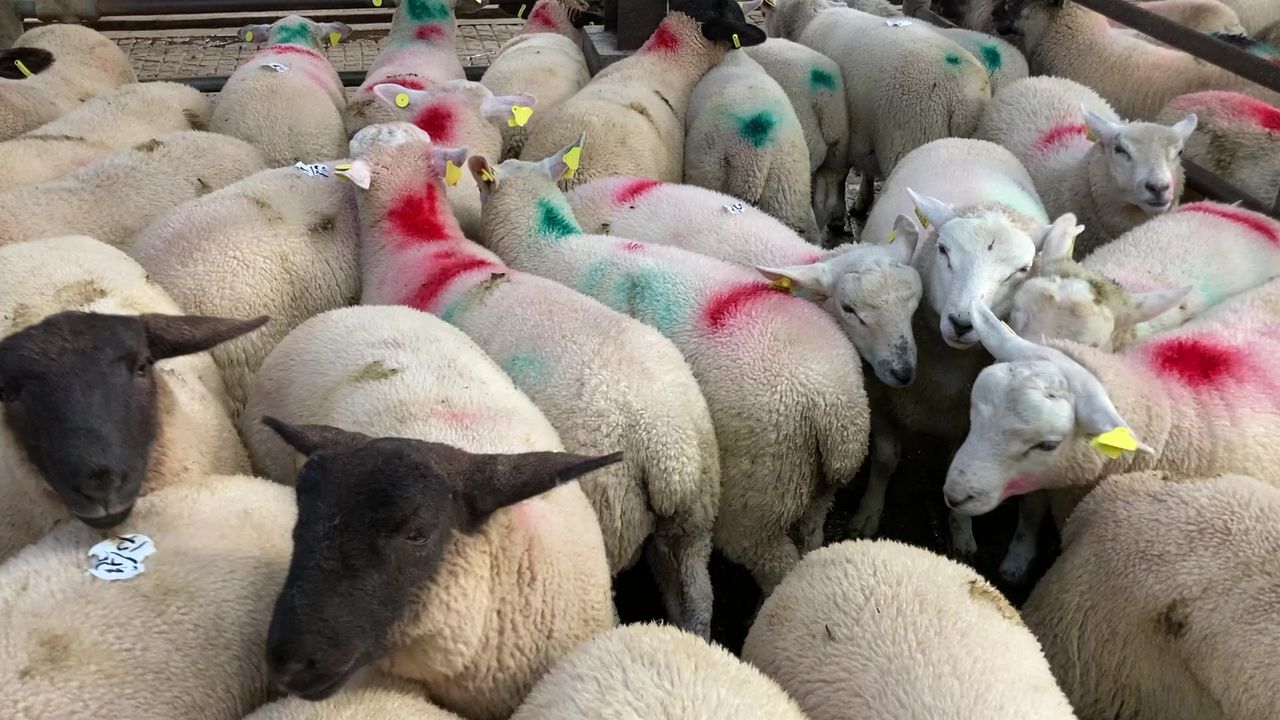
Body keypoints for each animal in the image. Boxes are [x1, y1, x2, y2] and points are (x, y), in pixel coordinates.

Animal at [470, 136, 870, 593]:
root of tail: (836, 410)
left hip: (762, 492)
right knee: (807, 534)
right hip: (813, 490)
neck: (546, 243)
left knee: (771, 560)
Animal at [851, 138, 1077, 557]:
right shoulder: (879, 394)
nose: (961, 322)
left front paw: (962, 535)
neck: (944, 368)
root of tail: (970, 141)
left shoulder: (967, 418)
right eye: (942, 250)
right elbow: (886, 459)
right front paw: (868, 514)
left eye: (1022, 270)